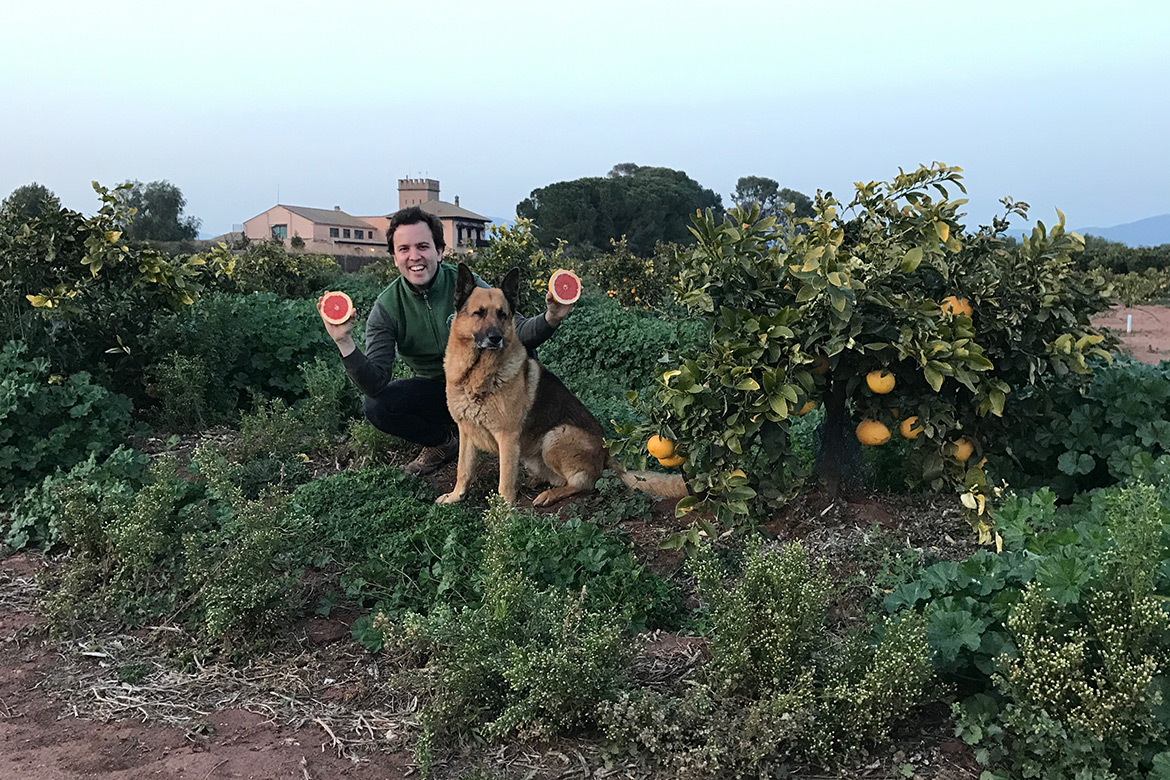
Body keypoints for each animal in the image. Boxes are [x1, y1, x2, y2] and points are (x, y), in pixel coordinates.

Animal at [439, 264, 692, 507]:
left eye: (503, 315)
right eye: (479, 313)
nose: (496, 338)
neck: (476, 375)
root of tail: (606, 452)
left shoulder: (507, 438)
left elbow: (505, 483)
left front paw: (503, 514)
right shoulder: (466, 433)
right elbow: (463, 470)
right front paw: (455, 496)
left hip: (554, 437)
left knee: (583, 483)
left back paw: (550, 494)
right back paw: (536, 481)